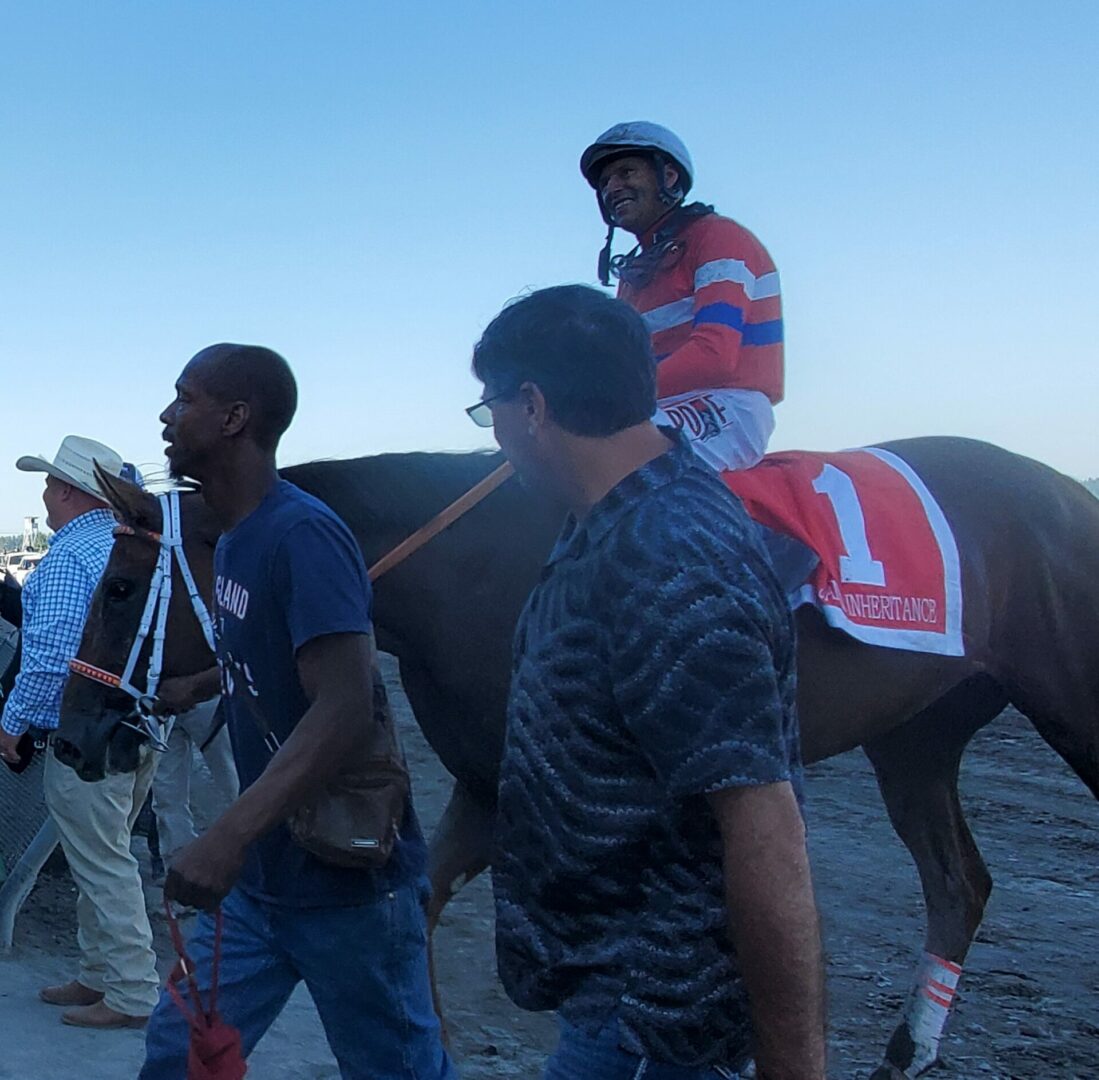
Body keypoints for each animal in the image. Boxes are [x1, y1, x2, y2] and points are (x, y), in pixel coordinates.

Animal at [56, 436, 1099, 1079]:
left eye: (119, 586)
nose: (72, 732)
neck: (466, 560)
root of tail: (1063, 489)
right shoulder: (484, 780)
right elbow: (415, 910)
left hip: (1067, 704)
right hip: (917, 736)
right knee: (959, 881)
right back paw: (906, 1050)